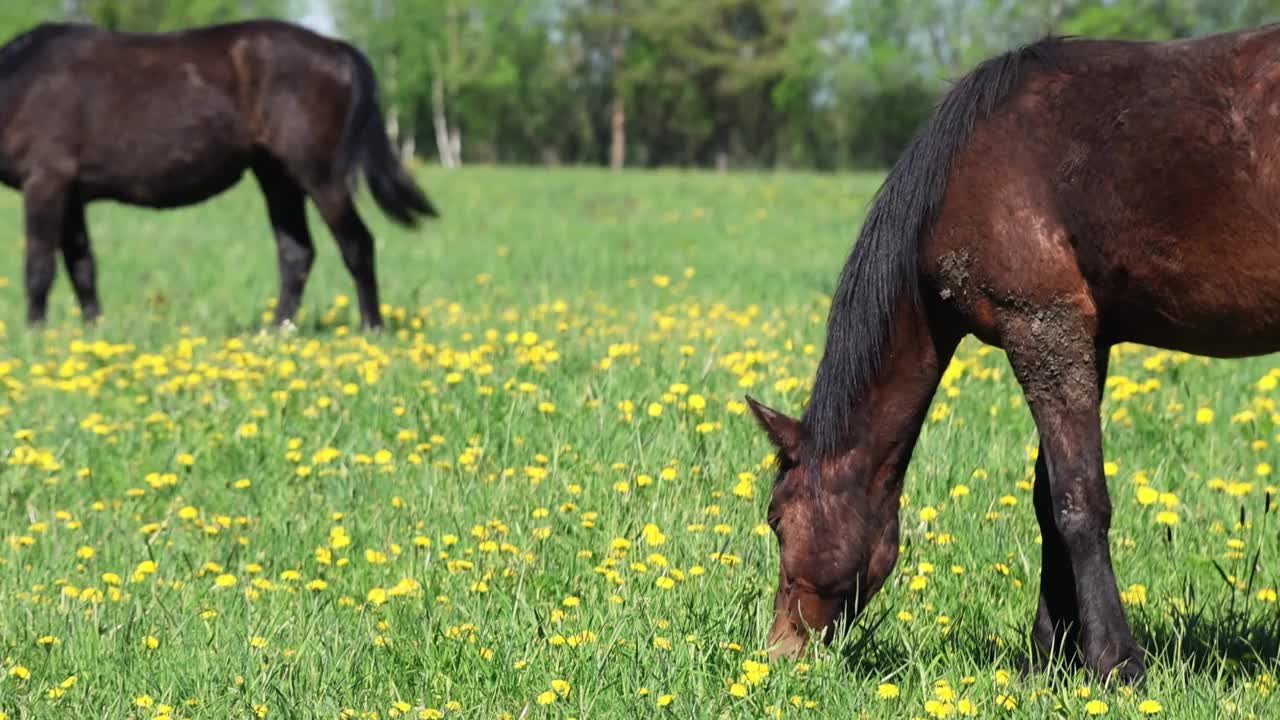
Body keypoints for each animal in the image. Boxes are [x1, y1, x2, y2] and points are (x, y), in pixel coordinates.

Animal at [0, 19, 437, 327]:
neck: (22, 80)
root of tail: (336, 49)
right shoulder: (70, 194)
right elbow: (82, 268)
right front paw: (94, 329)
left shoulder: (46, 182)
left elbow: (39, 266)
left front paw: (35, 331)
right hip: (276, 176)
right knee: (296, 253)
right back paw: (276, 330)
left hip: (320, 176)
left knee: (357, 245)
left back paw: (372, 327)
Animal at [747, 23, 1280, 681]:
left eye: (775, 518)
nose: (779, 649)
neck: (966, 171)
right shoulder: (1083, 337)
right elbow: (1046, 501)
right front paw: (1050, 655)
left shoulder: (1042, 327)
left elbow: (1077, 500)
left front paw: (1115, 661)